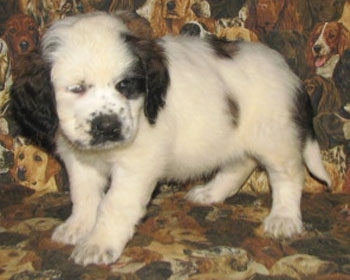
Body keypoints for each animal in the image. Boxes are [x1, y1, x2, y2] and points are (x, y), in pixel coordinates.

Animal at [8, 12, 330, 266]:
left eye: (125, 85)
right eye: (77, 88)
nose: (108, 126)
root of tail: (290, 73)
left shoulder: (137, 165)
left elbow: (114, 204)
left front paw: (99, 243)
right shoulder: (79, 160)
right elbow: (84, 196)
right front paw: (78, 227)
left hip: (274, 136)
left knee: (289, 174)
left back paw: (284, 218)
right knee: (241, 164)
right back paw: (211, 192)